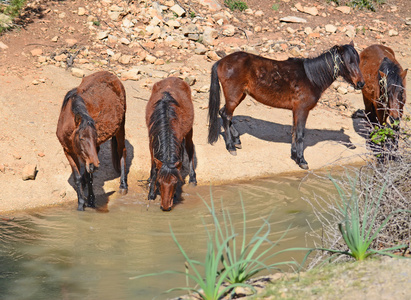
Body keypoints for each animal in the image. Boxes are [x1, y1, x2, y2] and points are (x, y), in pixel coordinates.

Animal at [56, 71, 127, 211]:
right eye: (81, 138)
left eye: (95, 137)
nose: (95, 165)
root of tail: (112, 75)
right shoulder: (68, 151)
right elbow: (77, 177)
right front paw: (80, 204)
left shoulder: (89, 158)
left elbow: (90, 177)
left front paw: (91, 201)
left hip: (121, 127)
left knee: (122, 151)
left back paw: (123, 185)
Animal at [146, 77, 198, 211]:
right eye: (159, 182)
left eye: (174, 183)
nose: (165, 207)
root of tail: (173, 77)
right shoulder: (151, 142)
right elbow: (154, 168)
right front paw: (151, 193)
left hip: (189, 131)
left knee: (190, 150)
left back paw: (192, 179)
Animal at [208, 41, 366, 171]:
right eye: (349, 62)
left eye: (358, 61)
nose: (361, 84)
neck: (311, 78)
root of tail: (221, 61)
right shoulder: (302, 110)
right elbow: (300, 134)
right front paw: (302, 160)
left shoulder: (296, 111)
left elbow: (294, 132)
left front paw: (295, 156)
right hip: (234, 96)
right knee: (226, 115)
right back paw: (231, 146)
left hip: (240, 95)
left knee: (224, 114)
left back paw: (237, 140)